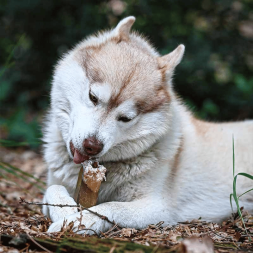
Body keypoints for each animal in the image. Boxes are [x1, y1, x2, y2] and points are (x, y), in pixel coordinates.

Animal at [43, 15, 253, 233]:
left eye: (126, 118)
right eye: (93, 97)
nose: (92, 146)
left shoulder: (158, 209)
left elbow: (108, 207)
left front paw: (74, 224)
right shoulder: (56, 185)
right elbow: (53, 189)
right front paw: (65, 211)